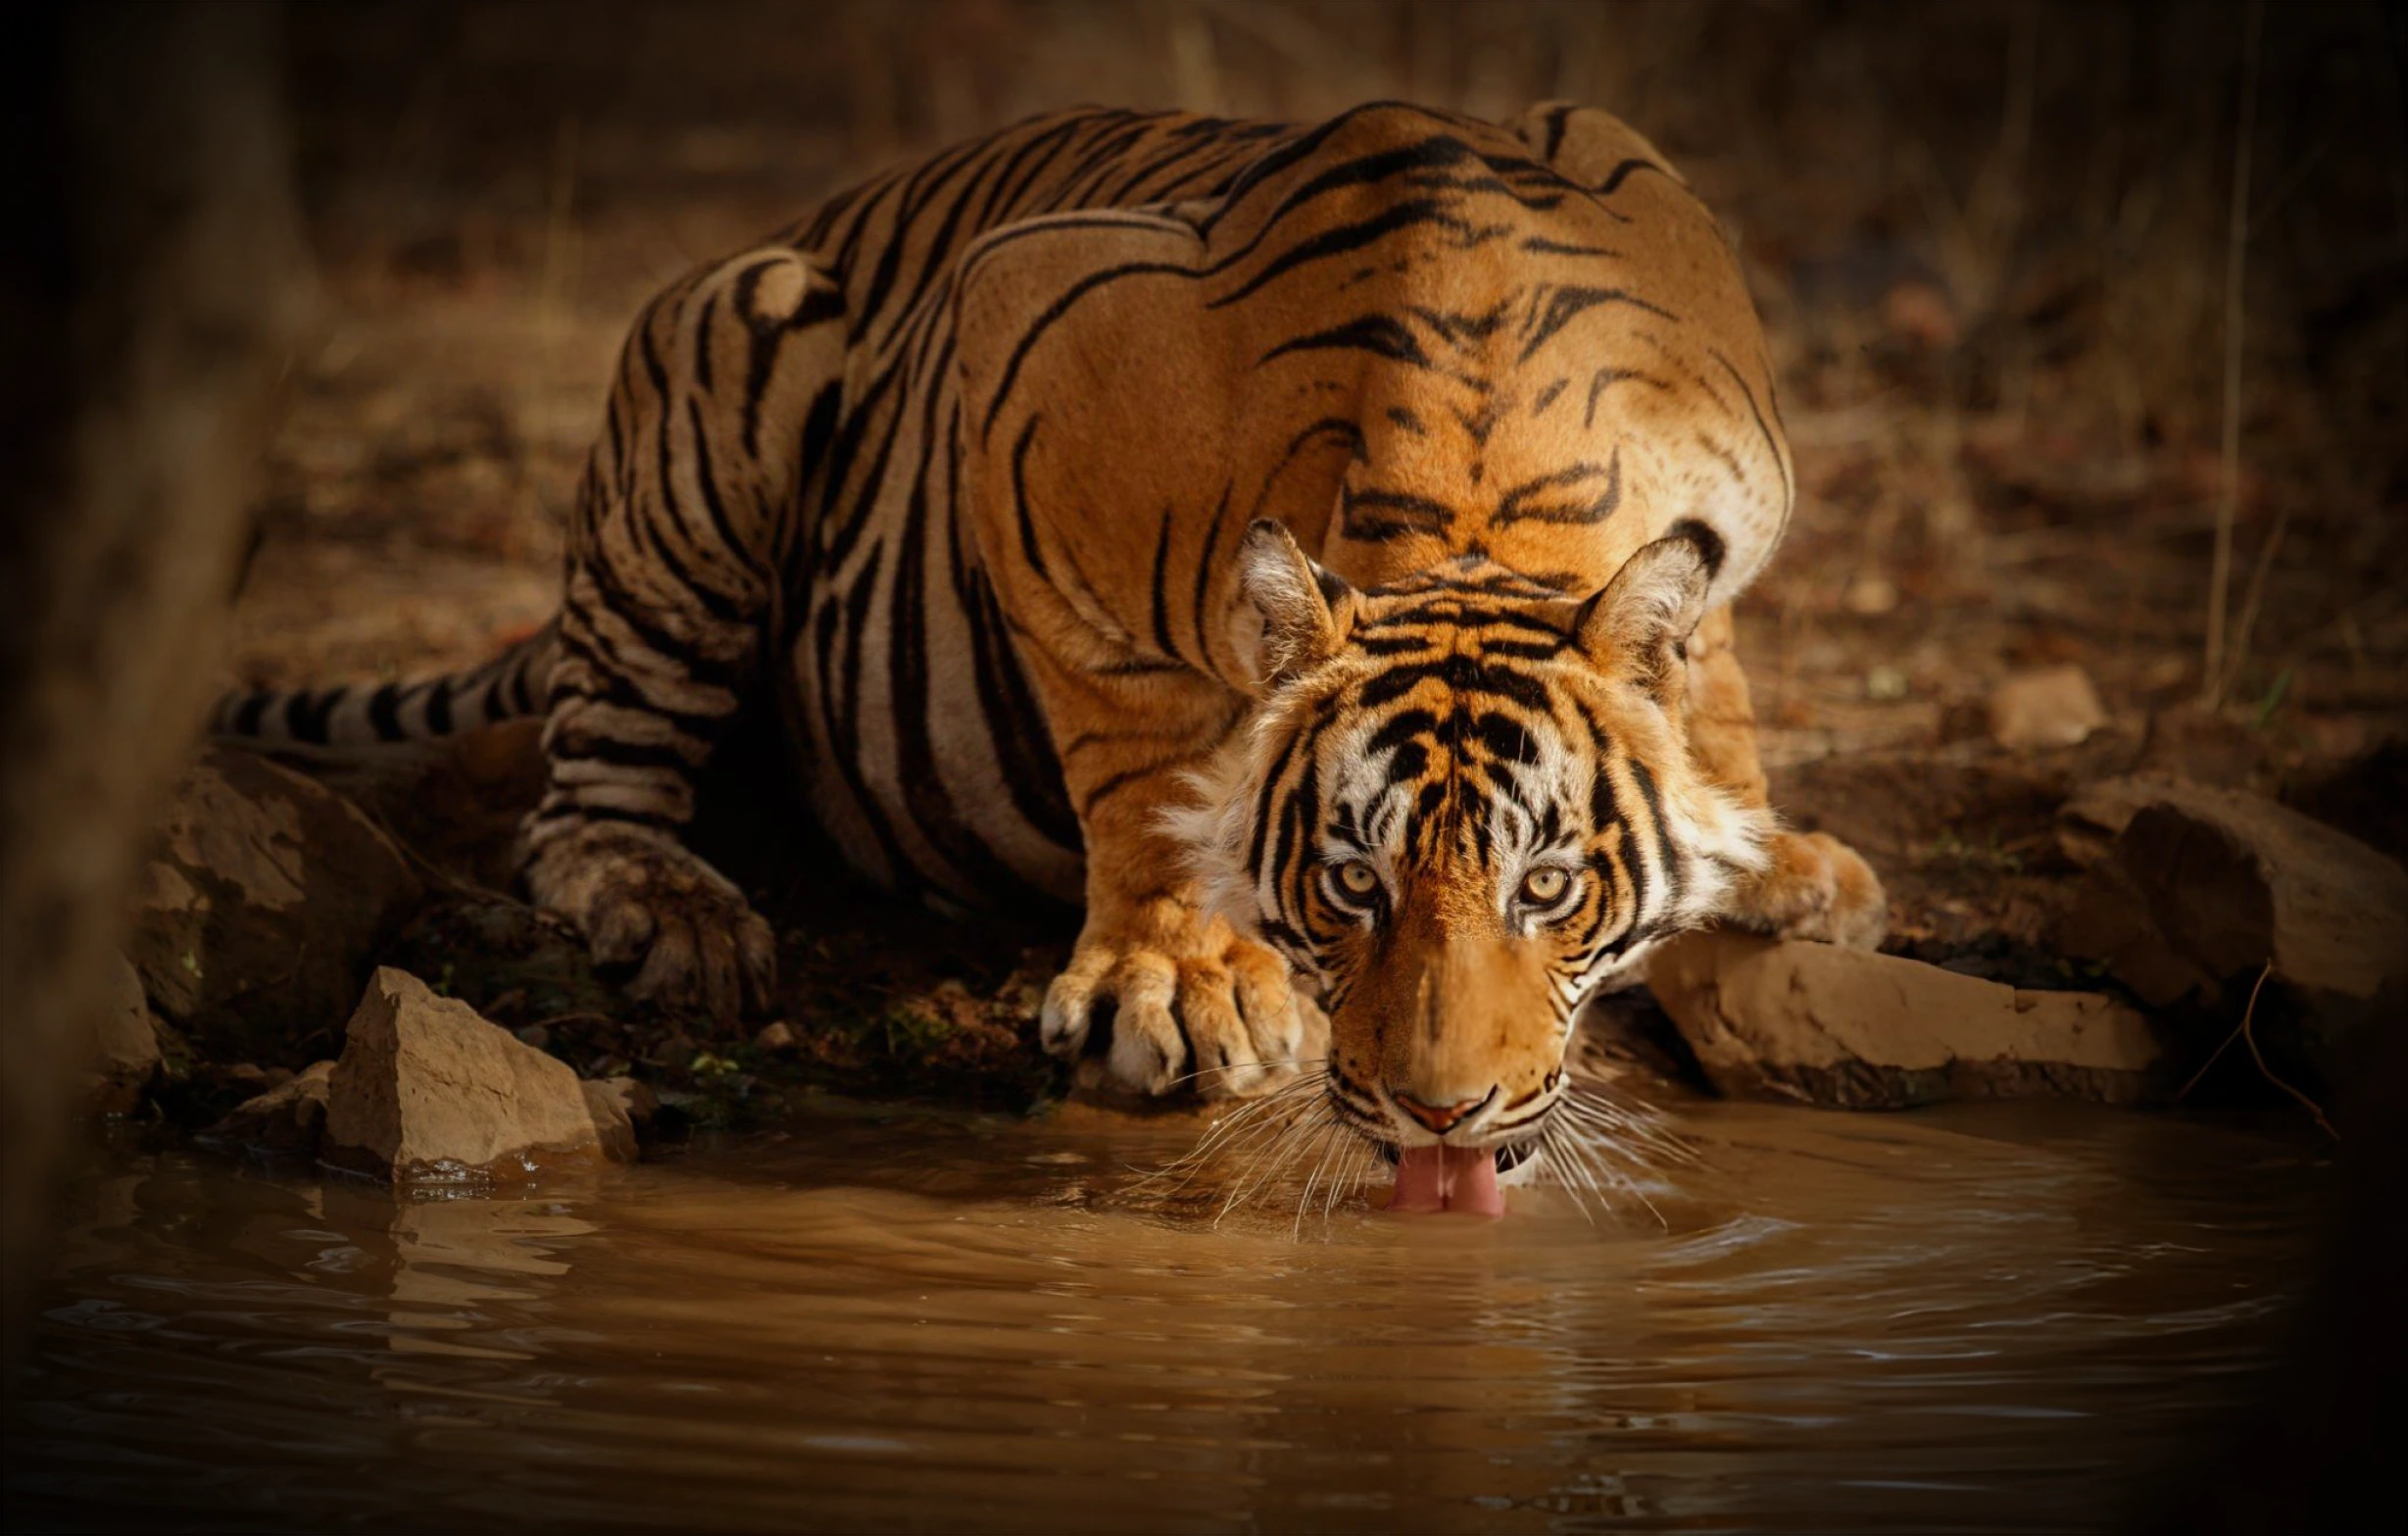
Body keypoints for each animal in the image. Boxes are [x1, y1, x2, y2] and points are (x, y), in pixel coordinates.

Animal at [219, 101, 1886, 1187]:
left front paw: (1769, 851)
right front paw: (1178, 978)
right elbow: (1140, 753)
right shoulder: (1024, 358)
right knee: (580, 804)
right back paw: (673, 908)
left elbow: (1710, 670)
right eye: (1351, 883)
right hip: (726, 355)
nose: (1437, 1116)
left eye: (1547, 888)